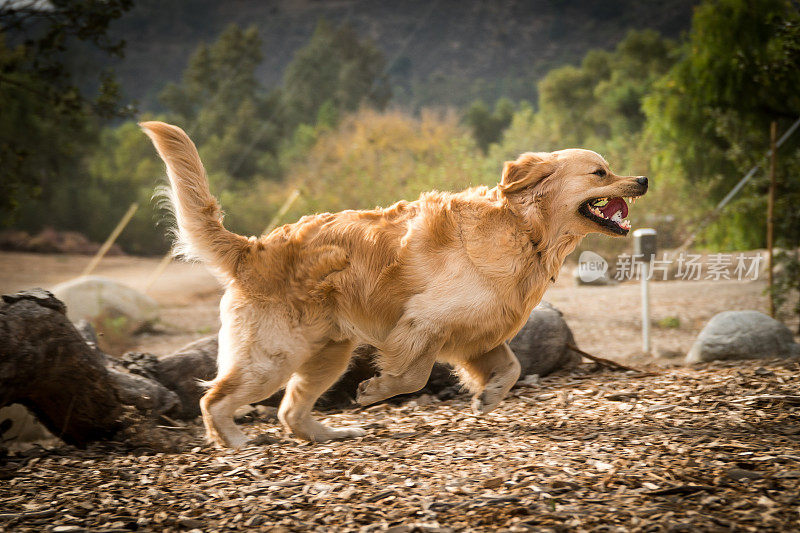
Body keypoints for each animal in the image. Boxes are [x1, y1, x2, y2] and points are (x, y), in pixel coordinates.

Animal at [141, 121, 648, 448]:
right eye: (600, 172)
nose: (643, 178)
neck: (526, 230)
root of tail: (254, 247)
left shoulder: (479, 336)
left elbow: (512, 368)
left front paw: (487, 398)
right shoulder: (423, 323)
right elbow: (413, 375)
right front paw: (376, 391)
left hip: (328, 355)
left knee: (290, 411)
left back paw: (330, 434)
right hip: (274, 356)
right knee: (213, 399)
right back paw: (234, 442)